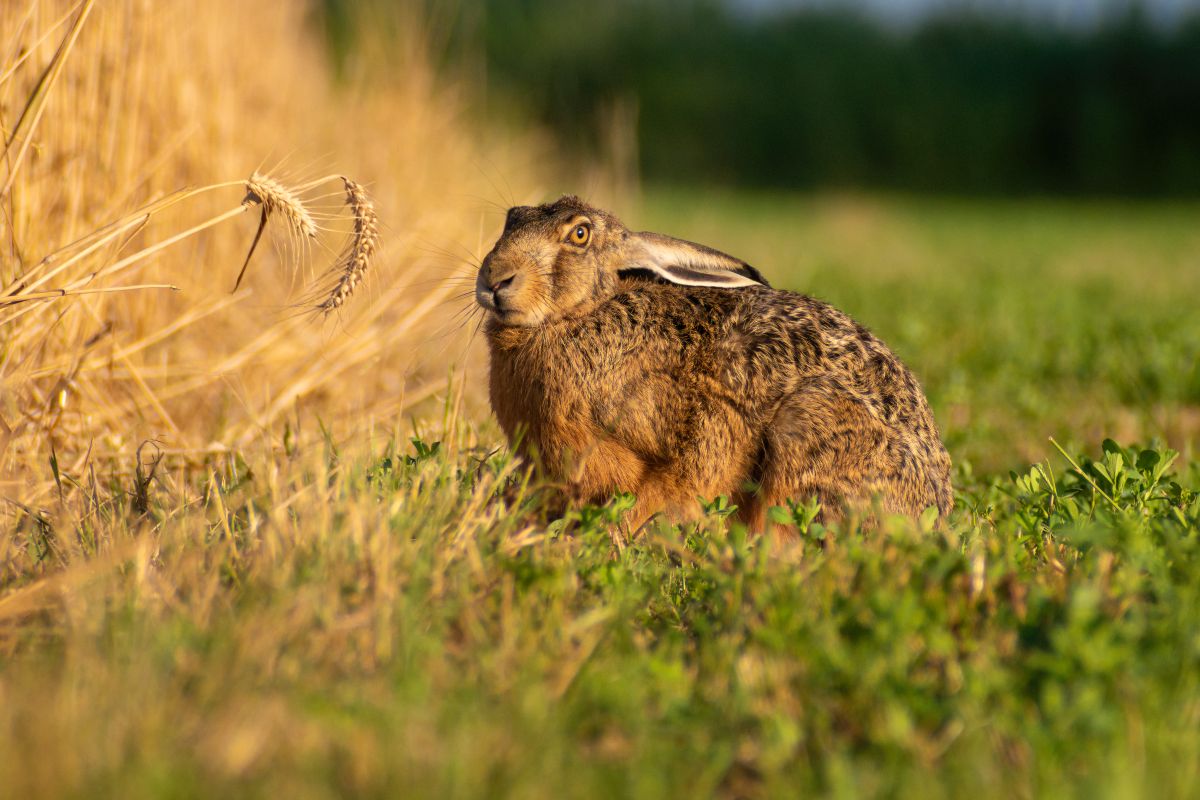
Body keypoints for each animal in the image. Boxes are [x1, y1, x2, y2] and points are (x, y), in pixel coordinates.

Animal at [476, 195, 953, 533]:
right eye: (511, 218)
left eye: (579, 234)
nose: (494, 279)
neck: (581, 314)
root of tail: (933, 512)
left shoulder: (699, 421)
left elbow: (681, 477)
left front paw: (619, 533)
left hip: (812, 425)